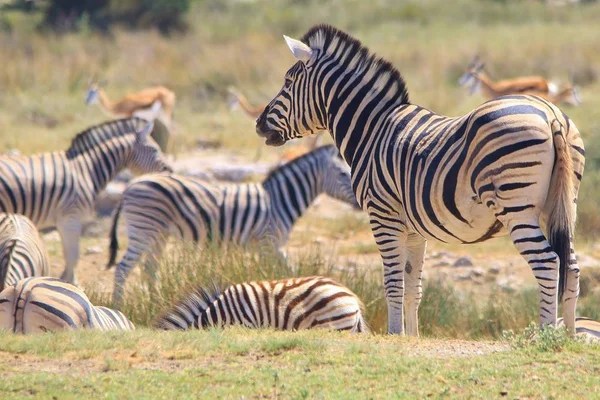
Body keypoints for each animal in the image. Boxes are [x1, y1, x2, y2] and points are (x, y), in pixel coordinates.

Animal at [0, 117, 171, 286]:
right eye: (154, 150)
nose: (169, 171)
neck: (85, 170)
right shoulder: (70, 217)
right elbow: (73, 257)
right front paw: (71, 284)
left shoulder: (65, 220)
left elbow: (70, 256)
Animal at [107, 145, 358, 304]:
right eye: (342, 173)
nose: (359, 202)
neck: (278, 200)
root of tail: (130, 186)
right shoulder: (270, 243)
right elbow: (286, 271)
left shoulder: (265, 247)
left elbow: (275, 272)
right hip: (144, 229)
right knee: (123, 269)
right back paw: (120, 306)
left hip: (159, 234)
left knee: (149, 269)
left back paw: (155, 301)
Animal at [254, 26, 584, 336]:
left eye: (287, 82)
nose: (258, 124)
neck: (371, 130)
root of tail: (551, 114)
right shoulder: (415, 229)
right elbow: (414, 287)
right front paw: (411, 337)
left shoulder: (383, 216)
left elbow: (393, 283)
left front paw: (393, 334)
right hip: (561, 205)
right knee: (571, 265)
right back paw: (567, 338)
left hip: (516, 208)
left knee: (547, 263)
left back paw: (544, 337)